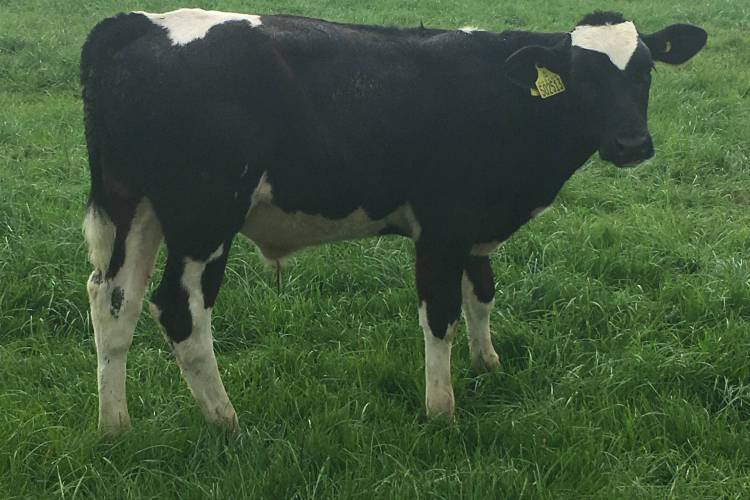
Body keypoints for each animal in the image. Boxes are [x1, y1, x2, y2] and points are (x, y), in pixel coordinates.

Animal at [80, 8, 706, 435]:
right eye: (583, 77)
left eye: (646, 72)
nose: (631, 144)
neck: (503, 98)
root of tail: (139, 23)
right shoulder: (443, 226)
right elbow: (441, 314)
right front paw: (441, 408)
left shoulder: (472, 226)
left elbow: (482, 294)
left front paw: (489, 364)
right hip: (204, 216)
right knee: (180, 310)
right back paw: (226, 420)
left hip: (136, 208)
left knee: (114, 301)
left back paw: (115, 426)